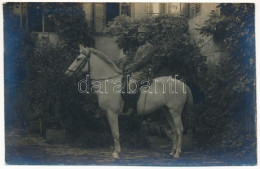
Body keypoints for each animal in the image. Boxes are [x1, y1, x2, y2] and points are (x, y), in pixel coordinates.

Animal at [65, 45, 193, 158]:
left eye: (78, 58)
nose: (67, 73)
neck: (108, 82)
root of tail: (182, 84)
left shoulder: (113, 113)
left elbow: (116, 132)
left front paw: (117, 153)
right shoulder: (107, 114)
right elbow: (112, 132)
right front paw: (116, 151)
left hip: (175, 112)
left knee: (180, 130)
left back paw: (177, 154)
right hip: (167, 111)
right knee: (174, 130)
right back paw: (172, 152)